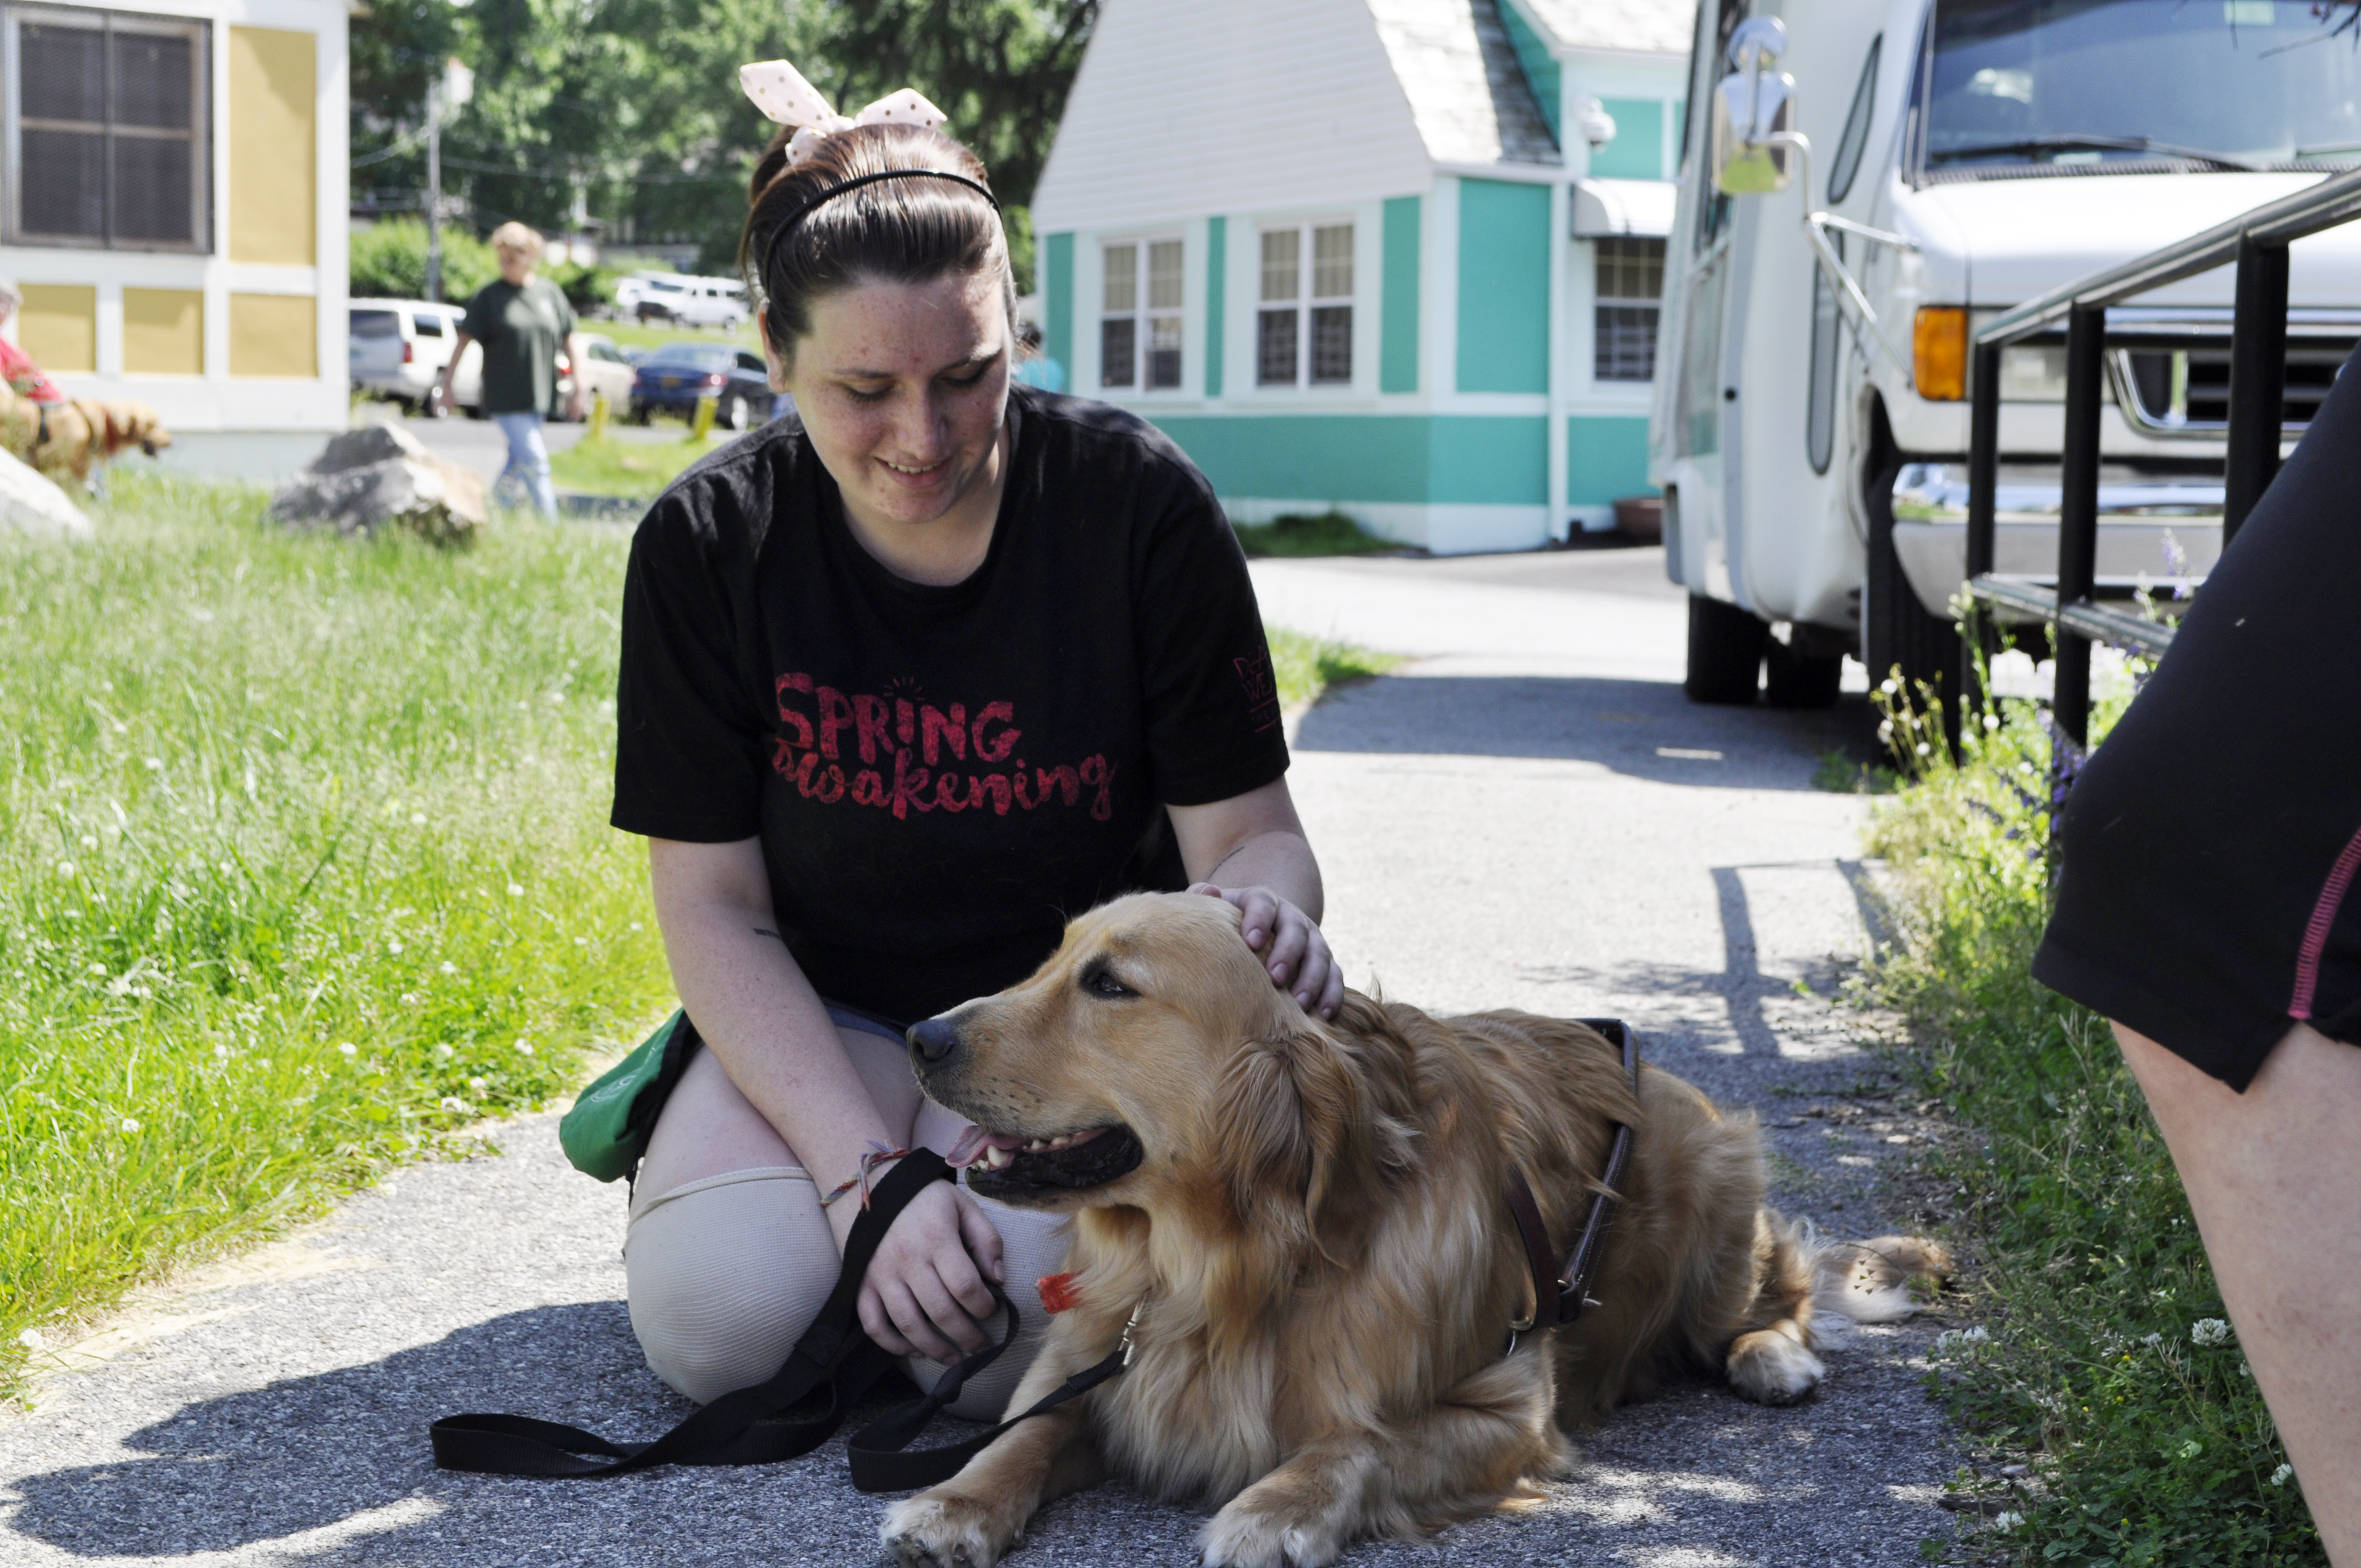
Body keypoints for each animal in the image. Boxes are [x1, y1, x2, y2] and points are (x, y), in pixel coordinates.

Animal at [883, 892, 1936, 1567]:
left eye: (1108, 985)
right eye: (1054, 958)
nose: (920, 1036)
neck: (1227, 1267)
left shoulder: (1506, 1404)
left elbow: (1357, 1442)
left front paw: (1275, 1509)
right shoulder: (1096, 1362)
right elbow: (1026, 1432)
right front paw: (951, 1500)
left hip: (1718, 1193)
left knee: (1778, 1291)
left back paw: (1773, 1355)